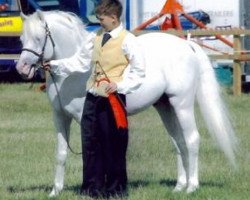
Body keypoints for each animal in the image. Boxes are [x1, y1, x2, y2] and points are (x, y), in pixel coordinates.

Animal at [16, 10, 238, 197]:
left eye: (38, 38)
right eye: (21, 39)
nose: (22, 68)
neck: (73, 73)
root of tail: (187, 46)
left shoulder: (84, 119)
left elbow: (92, 151)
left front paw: (94, 190)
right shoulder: (60, 118)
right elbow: (61, 154)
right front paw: (55, 191)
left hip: (181, 104)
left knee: (192, 140)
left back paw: (192, 187)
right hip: (166, 107)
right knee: (179, 142)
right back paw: (179, 186)